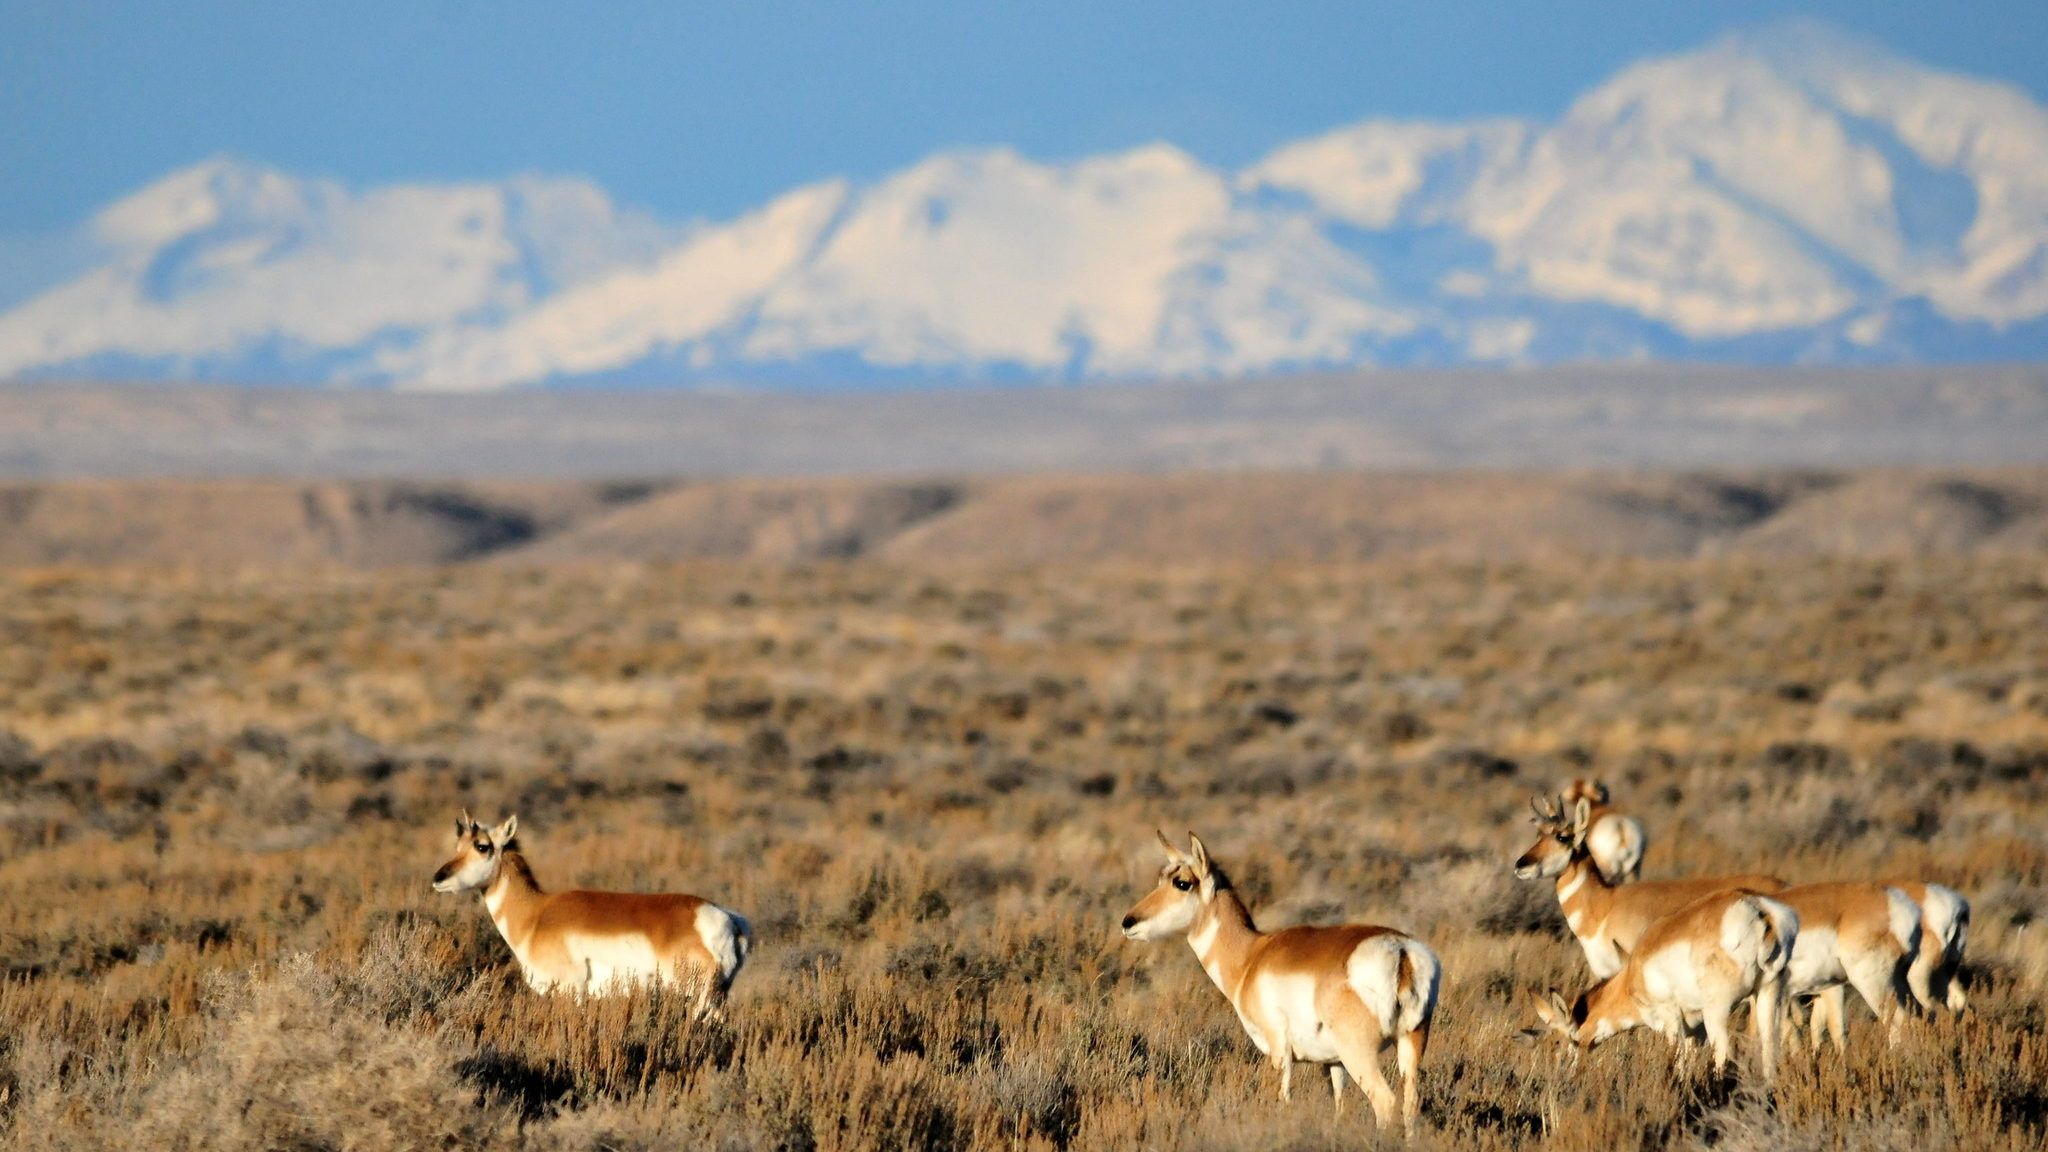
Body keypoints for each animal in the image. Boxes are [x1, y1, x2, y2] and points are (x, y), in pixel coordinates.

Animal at [431, 812, 751, 1016]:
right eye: (458, 846)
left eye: (482, 846)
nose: (438, 878)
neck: (537, 914)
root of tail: (728, 919)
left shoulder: (570, 991)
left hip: (701, 997)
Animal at [1121, 832, 1441, 1138]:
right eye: (1161, 878)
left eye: (1182, 882)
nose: (1128, 922)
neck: (1252, 956)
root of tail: (1400, 950)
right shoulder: (1333, 1064)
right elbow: (1339, 1106)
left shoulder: (1280, 1054)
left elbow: (1282, 1101)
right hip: (1409, 1044)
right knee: (1411, 1103)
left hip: (1360, 1054)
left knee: (1385, 1102)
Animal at [1529, 887, 1798, 1081]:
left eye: (1570, 1040)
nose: (1565, 1075)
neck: (1631, 975)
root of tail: (1759, 911)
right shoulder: (1695, 1030)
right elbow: (1689, 1059)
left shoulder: (1672, 1022)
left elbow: (1678, 1062)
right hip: (1768, 994)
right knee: (1770, 1050)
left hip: (1717, 1011)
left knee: (1724, 1054)